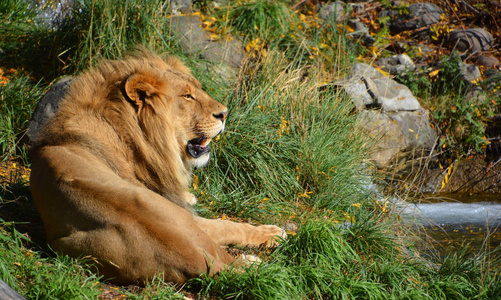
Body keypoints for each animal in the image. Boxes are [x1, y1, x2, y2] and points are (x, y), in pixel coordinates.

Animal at [29, 48, 284, 284]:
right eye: (187, 96)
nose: (224, 113)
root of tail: (189, 255)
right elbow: (229, 226)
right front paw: (273, 232)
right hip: (188, 222)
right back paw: (255, 258)